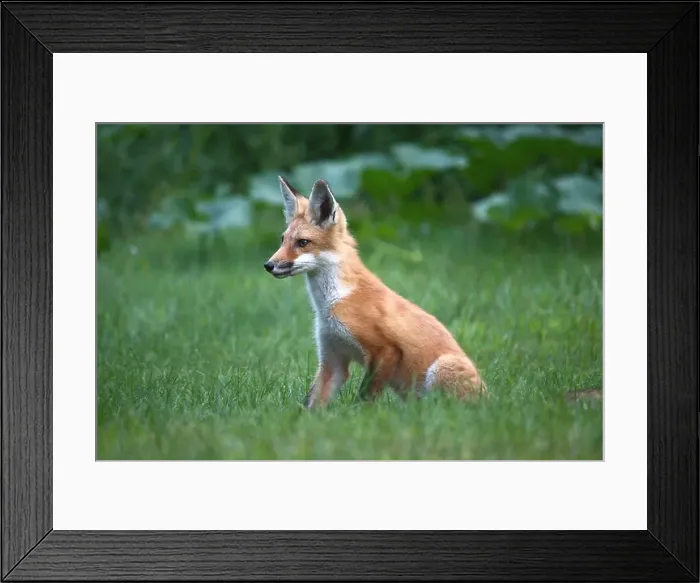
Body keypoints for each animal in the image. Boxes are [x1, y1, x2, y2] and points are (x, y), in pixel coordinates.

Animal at [264, 176, 487, 409]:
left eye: (302, 243)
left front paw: (359, 415)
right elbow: (312, 403)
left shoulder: (386, 350)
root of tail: (490, 400)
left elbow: (364, 399)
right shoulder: (332, 359)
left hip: (440, 370)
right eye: (282, 240)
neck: (334, 301)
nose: (268, 265)